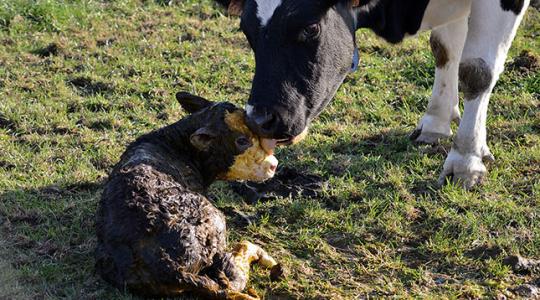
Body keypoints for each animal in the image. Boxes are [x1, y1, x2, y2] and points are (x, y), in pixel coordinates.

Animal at [96, 92, 280, 298]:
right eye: (241, 140)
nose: (273, 164)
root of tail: (169, 267)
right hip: (215, 224)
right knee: (229, 281)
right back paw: (263, 257)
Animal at [215, 0, 532, 189]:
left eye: (311, 27)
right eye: (246, 29)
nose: (260, 119)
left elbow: (477, 70)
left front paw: (466, 159)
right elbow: (444, 49)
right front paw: (436, 124)